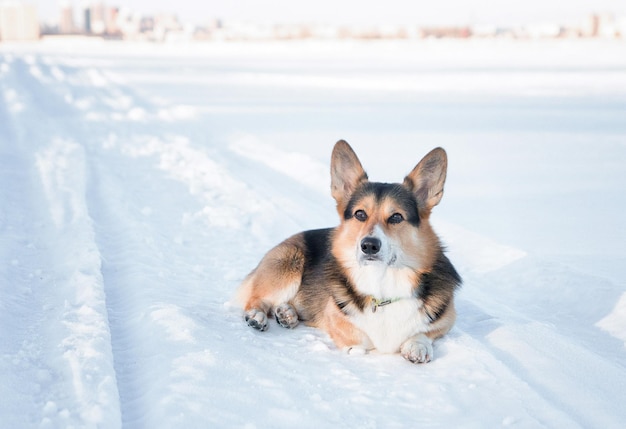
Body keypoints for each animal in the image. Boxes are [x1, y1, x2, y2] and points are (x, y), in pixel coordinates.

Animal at [236, 140, 460, 362]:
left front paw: (417, 346)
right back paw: (257, 316)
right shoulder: (335, 316)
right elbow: (359, 339)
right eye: (360, 214)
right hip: (289, 263)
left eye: (396, 217)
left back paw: (287, 314)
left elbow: (425, 332)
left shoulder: (446, 319)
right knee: (256, 299)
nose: (369, 245)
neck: (383, 284)